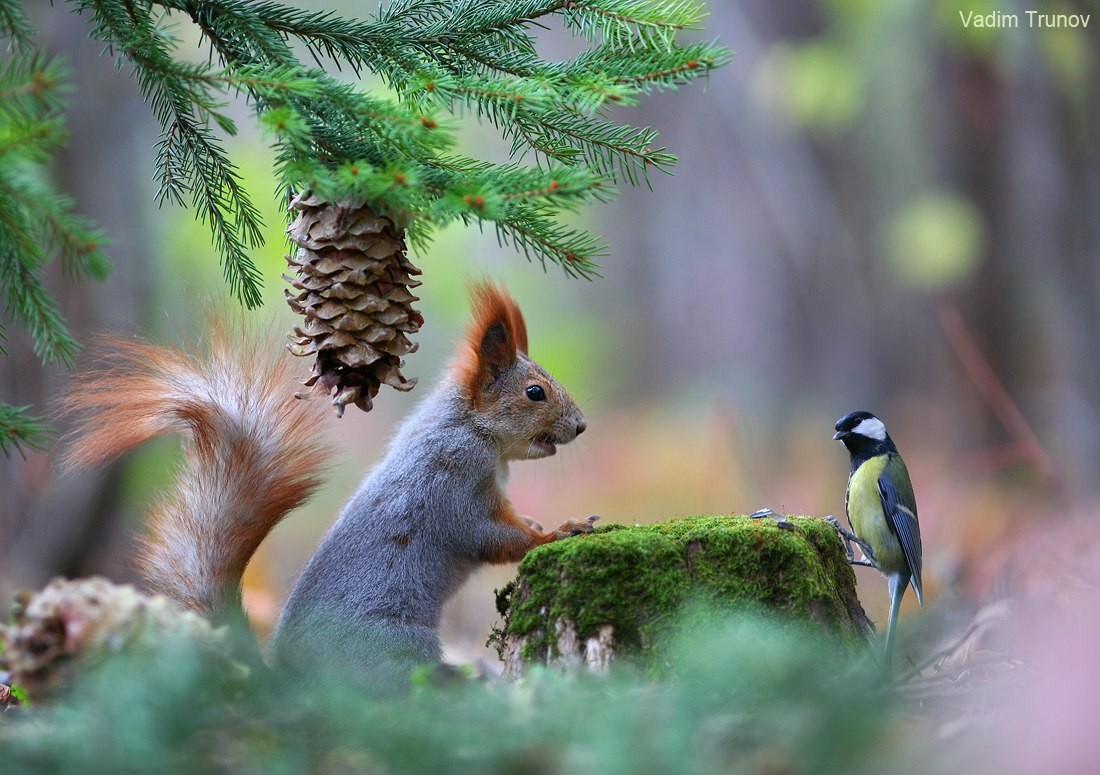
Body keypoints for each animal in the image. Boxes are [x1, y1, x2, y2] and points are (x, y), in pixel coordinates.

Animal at [64, 283, 598, 690]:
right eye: (535, 392)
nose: (581, 426)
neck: (469, 428)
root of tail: (288, 680)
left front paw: (540, 522)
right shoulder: (450, 481)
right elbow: (488, 537)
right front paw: (557, 532)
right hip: (392, 643)